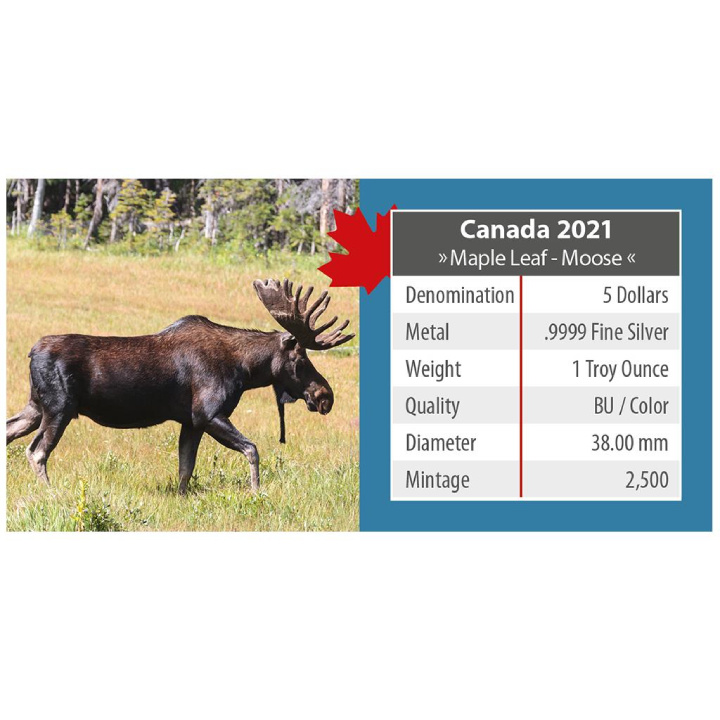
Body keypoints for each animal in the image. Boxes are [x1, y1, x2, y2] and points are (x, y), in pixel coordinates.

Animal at [5, 279, 354, 494]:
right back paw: (50, 492)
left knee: (10, 431)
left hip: (36, 406)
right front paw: (257, 492)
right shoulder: (208, 413)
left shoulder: (191, 421)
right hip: (59, 408)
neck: (245, 370)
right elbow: (252, 450)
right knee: (37, 451)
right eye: (300, 360)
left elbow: (185, 468)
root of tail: (32, 352)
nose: (325, 395)